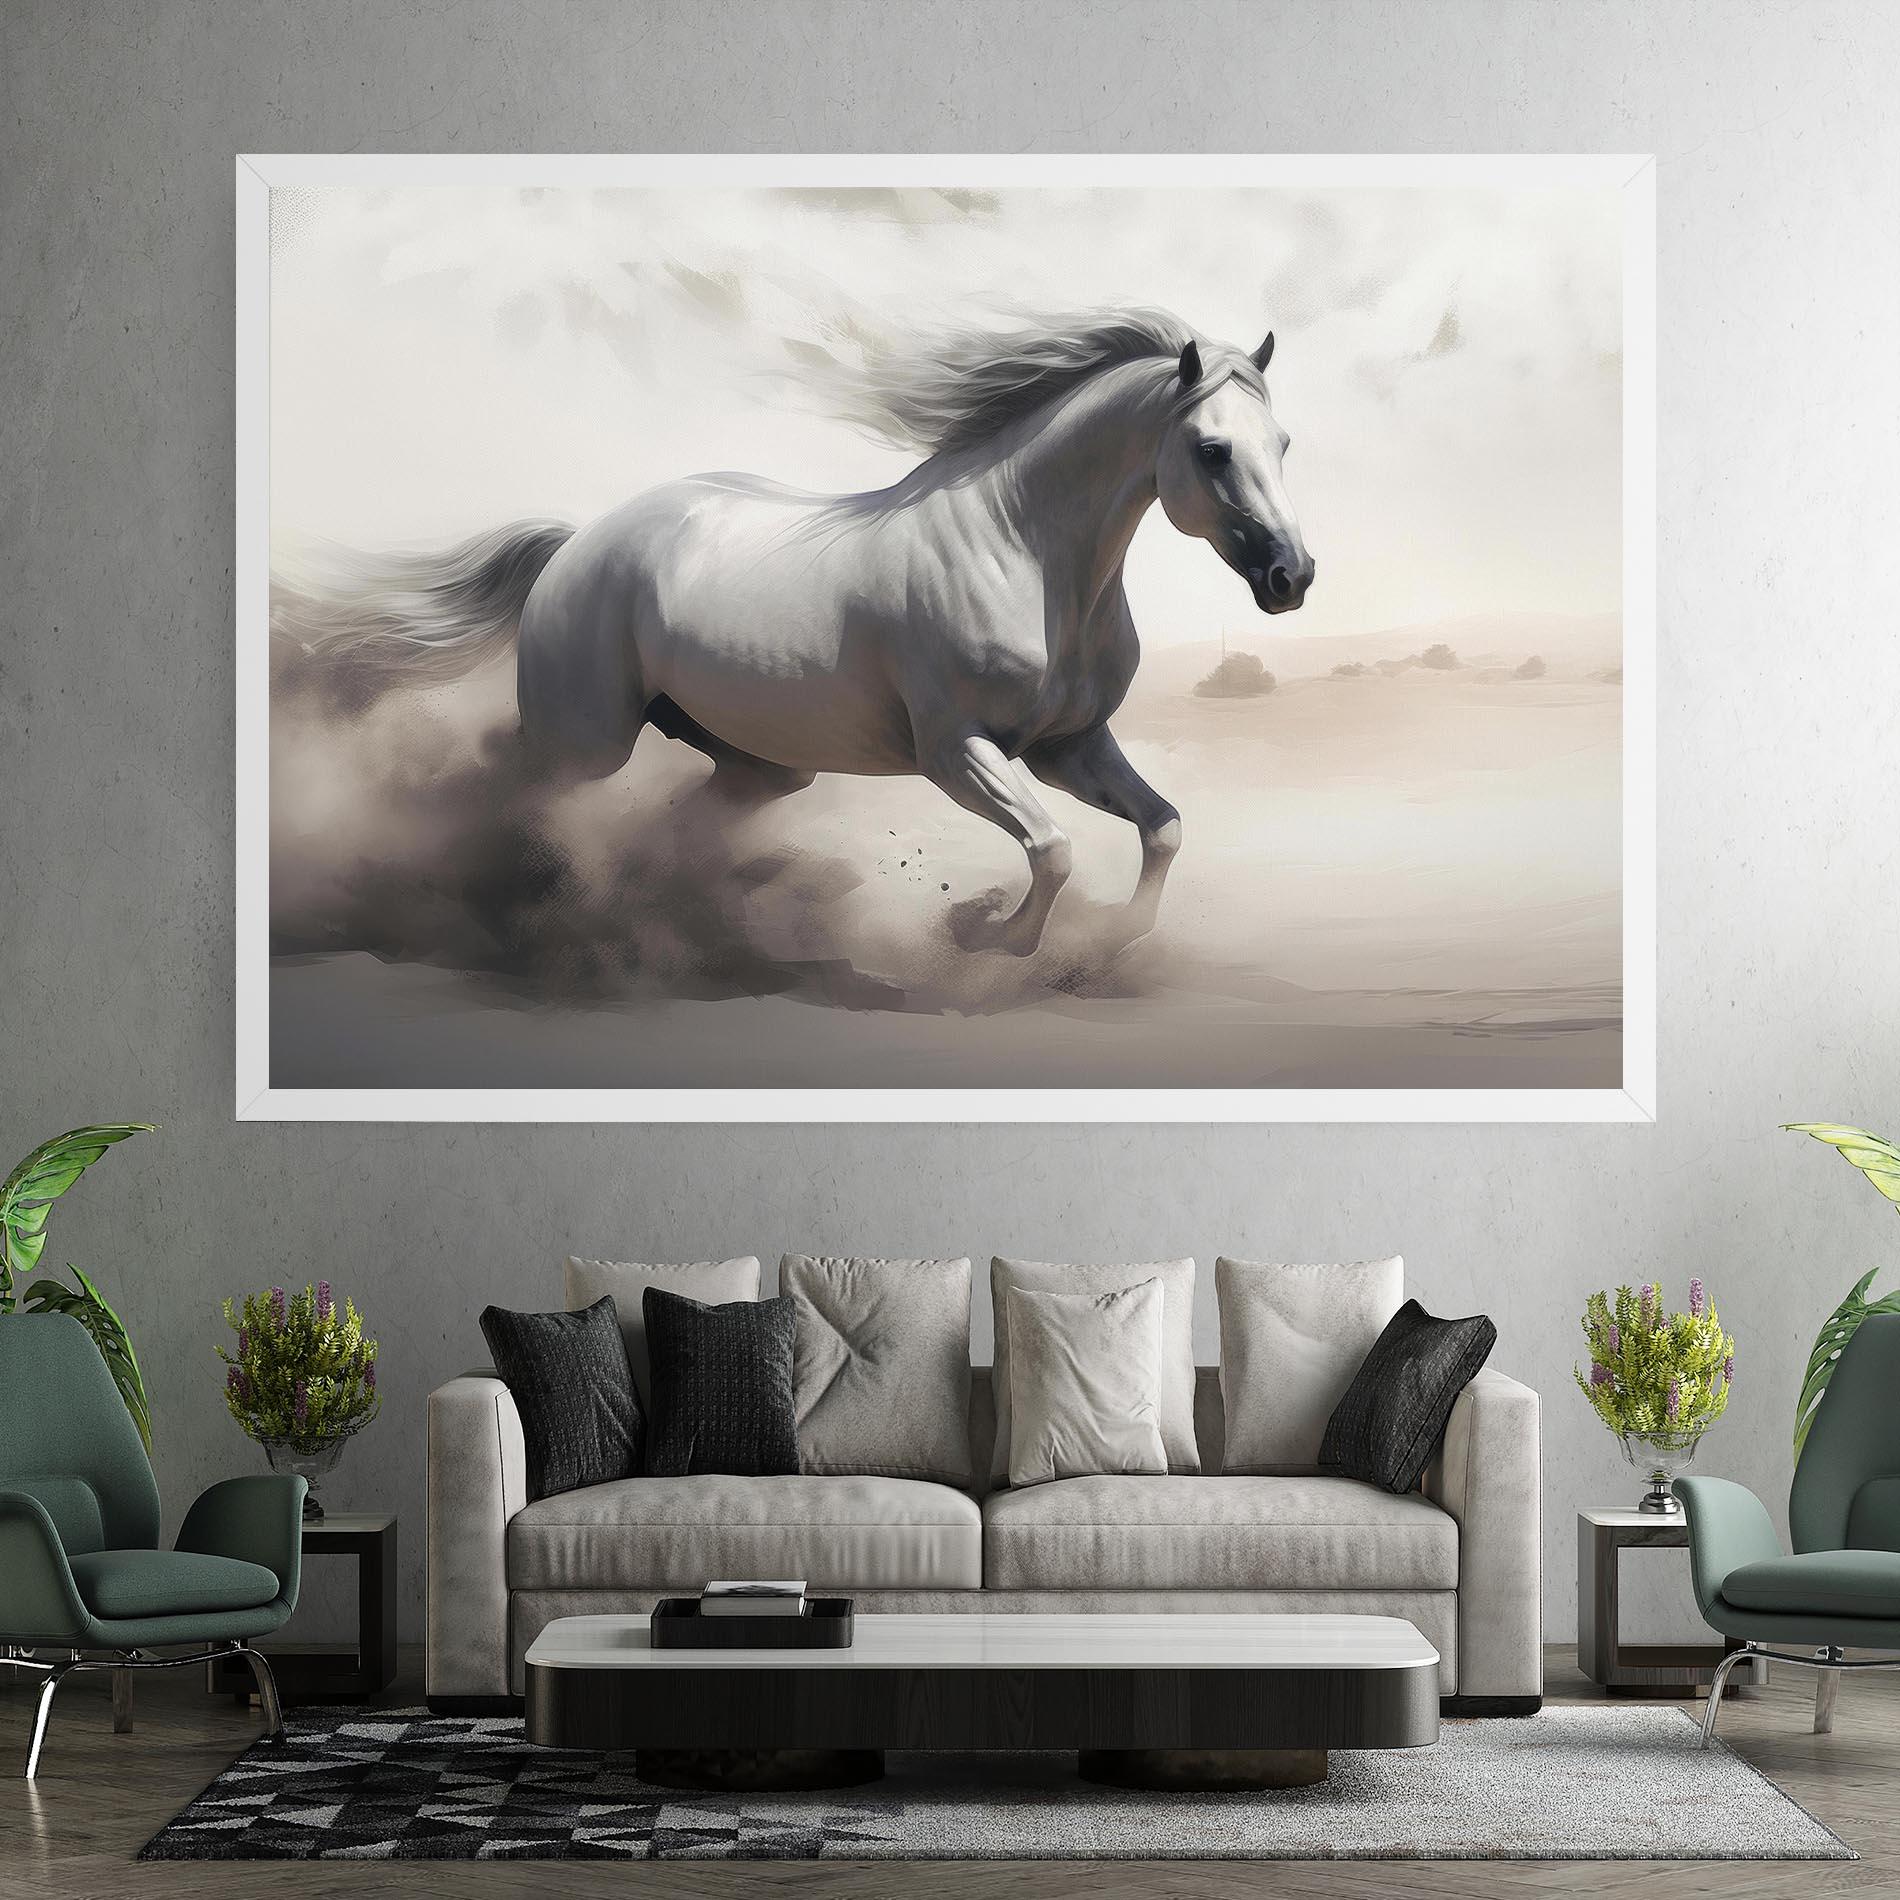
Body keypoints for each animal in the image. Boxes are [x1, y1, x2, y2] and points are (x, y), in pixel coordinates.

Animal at [278, 310, 1313, 956]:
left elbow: (1164, 828)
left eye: (1284, 444)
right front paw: (993, 938)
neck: (1022, 552)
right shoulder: (958, 752)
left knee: (676, 824)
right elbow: (1053, 849)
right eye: (1212, 450)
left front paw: (1116, 939)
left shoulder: (1070, 746)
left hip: (758, 763)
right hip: (585, 743)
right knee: (503, 788)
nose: (1291, 577)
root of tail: (578, 545)